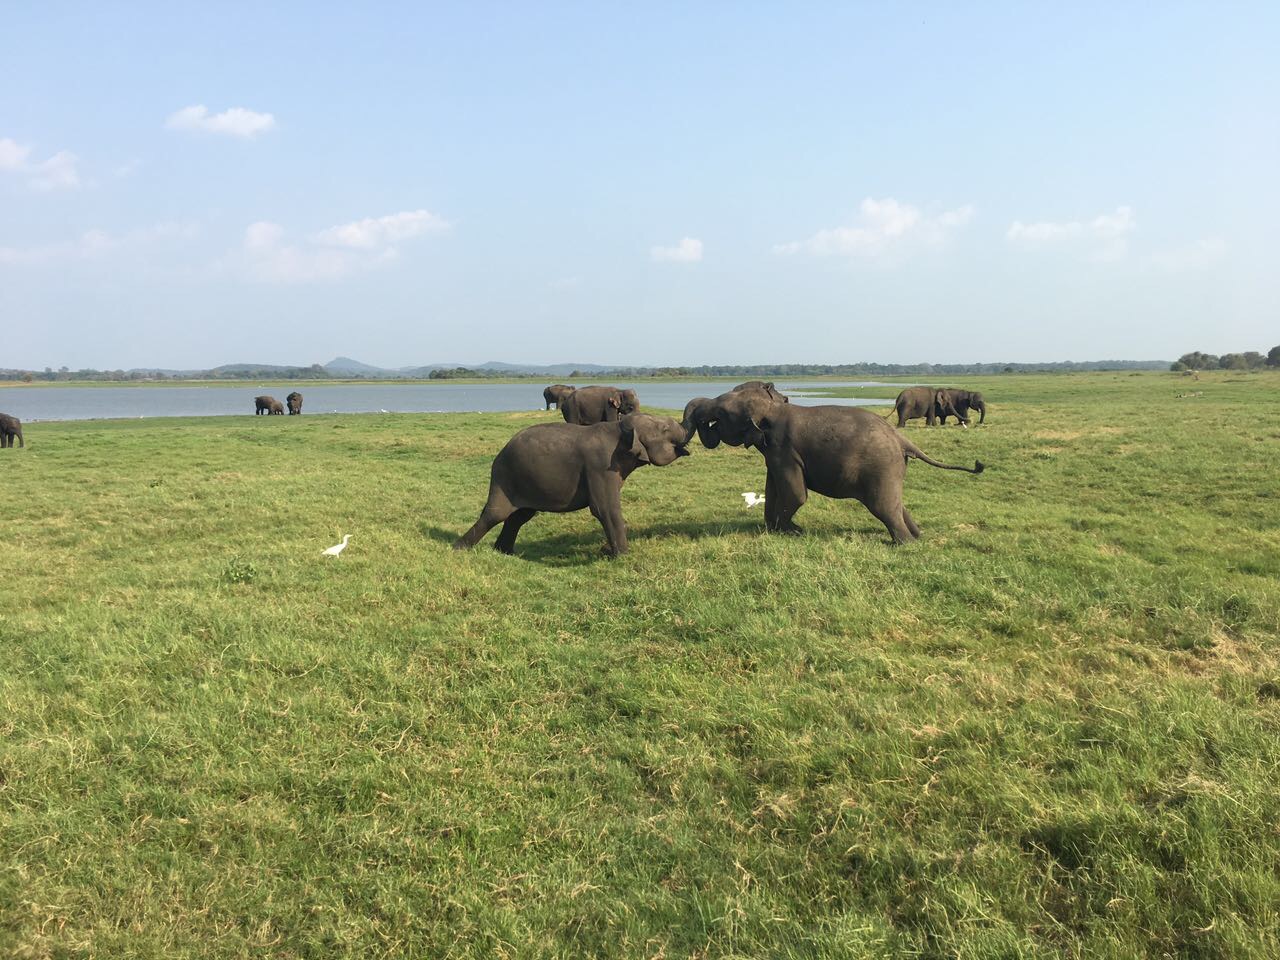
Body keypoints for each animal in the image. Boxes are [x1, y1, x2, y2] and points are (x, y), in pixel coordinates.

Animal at [454, 413, 690, 557]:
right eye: (665, 428)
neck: (619, 428)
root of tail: (501, 452)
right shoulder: (600, 466)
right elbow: (604, 508)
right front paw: (622, 555)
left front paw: (610, 551)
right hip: (505, 477)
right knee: (496, 514)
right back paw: (459, 549)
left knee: (519, 516)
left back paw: (504, 552)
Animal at [683, 389, 984, 544]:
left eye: (721, 413)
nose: (702, 424)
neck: (772, 409)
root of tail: (902, 439)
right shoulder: (774, 454)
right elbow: (773, 489)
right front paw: (774, 530)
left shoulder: (784, 450)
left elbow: (795, 494)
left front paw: (792, 531)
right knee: (896, 504)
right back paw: (917, 536)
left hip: (881, 469)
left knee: (883, 507)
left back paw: (903, 543)